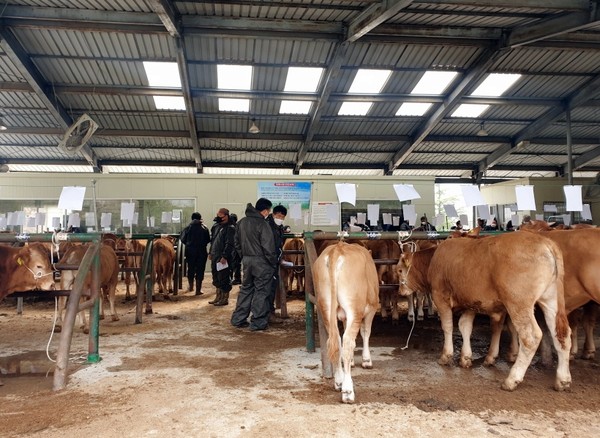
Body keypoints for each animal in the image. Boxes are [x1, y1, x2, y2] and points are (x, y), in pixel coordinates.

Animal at [312, 241, 378, 402]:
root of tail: (337, 248)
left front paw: (353, 361)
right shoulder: (372, 308)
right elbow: (366, 333)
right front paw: (366, 360)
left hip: (325, 307)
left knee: (336, 342)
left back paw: (339, 381)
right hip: (354, 307)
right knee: (347, 343)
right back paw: (348, 390)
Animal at [398, 231, 572, 392]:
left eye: (399, 270)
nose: (401, 290)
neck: (434, 258)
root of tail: (545, 242)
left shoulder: (440, 297)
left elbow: (447, 326)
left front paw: (446, 356)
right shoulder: (470, 302)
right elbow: (465, 326)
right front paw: (465, 357)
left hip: (518, 303)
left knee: (530, 337)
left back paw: (512, 379)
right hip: (551, 300)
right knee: (562, 333)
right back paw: (563, 379)